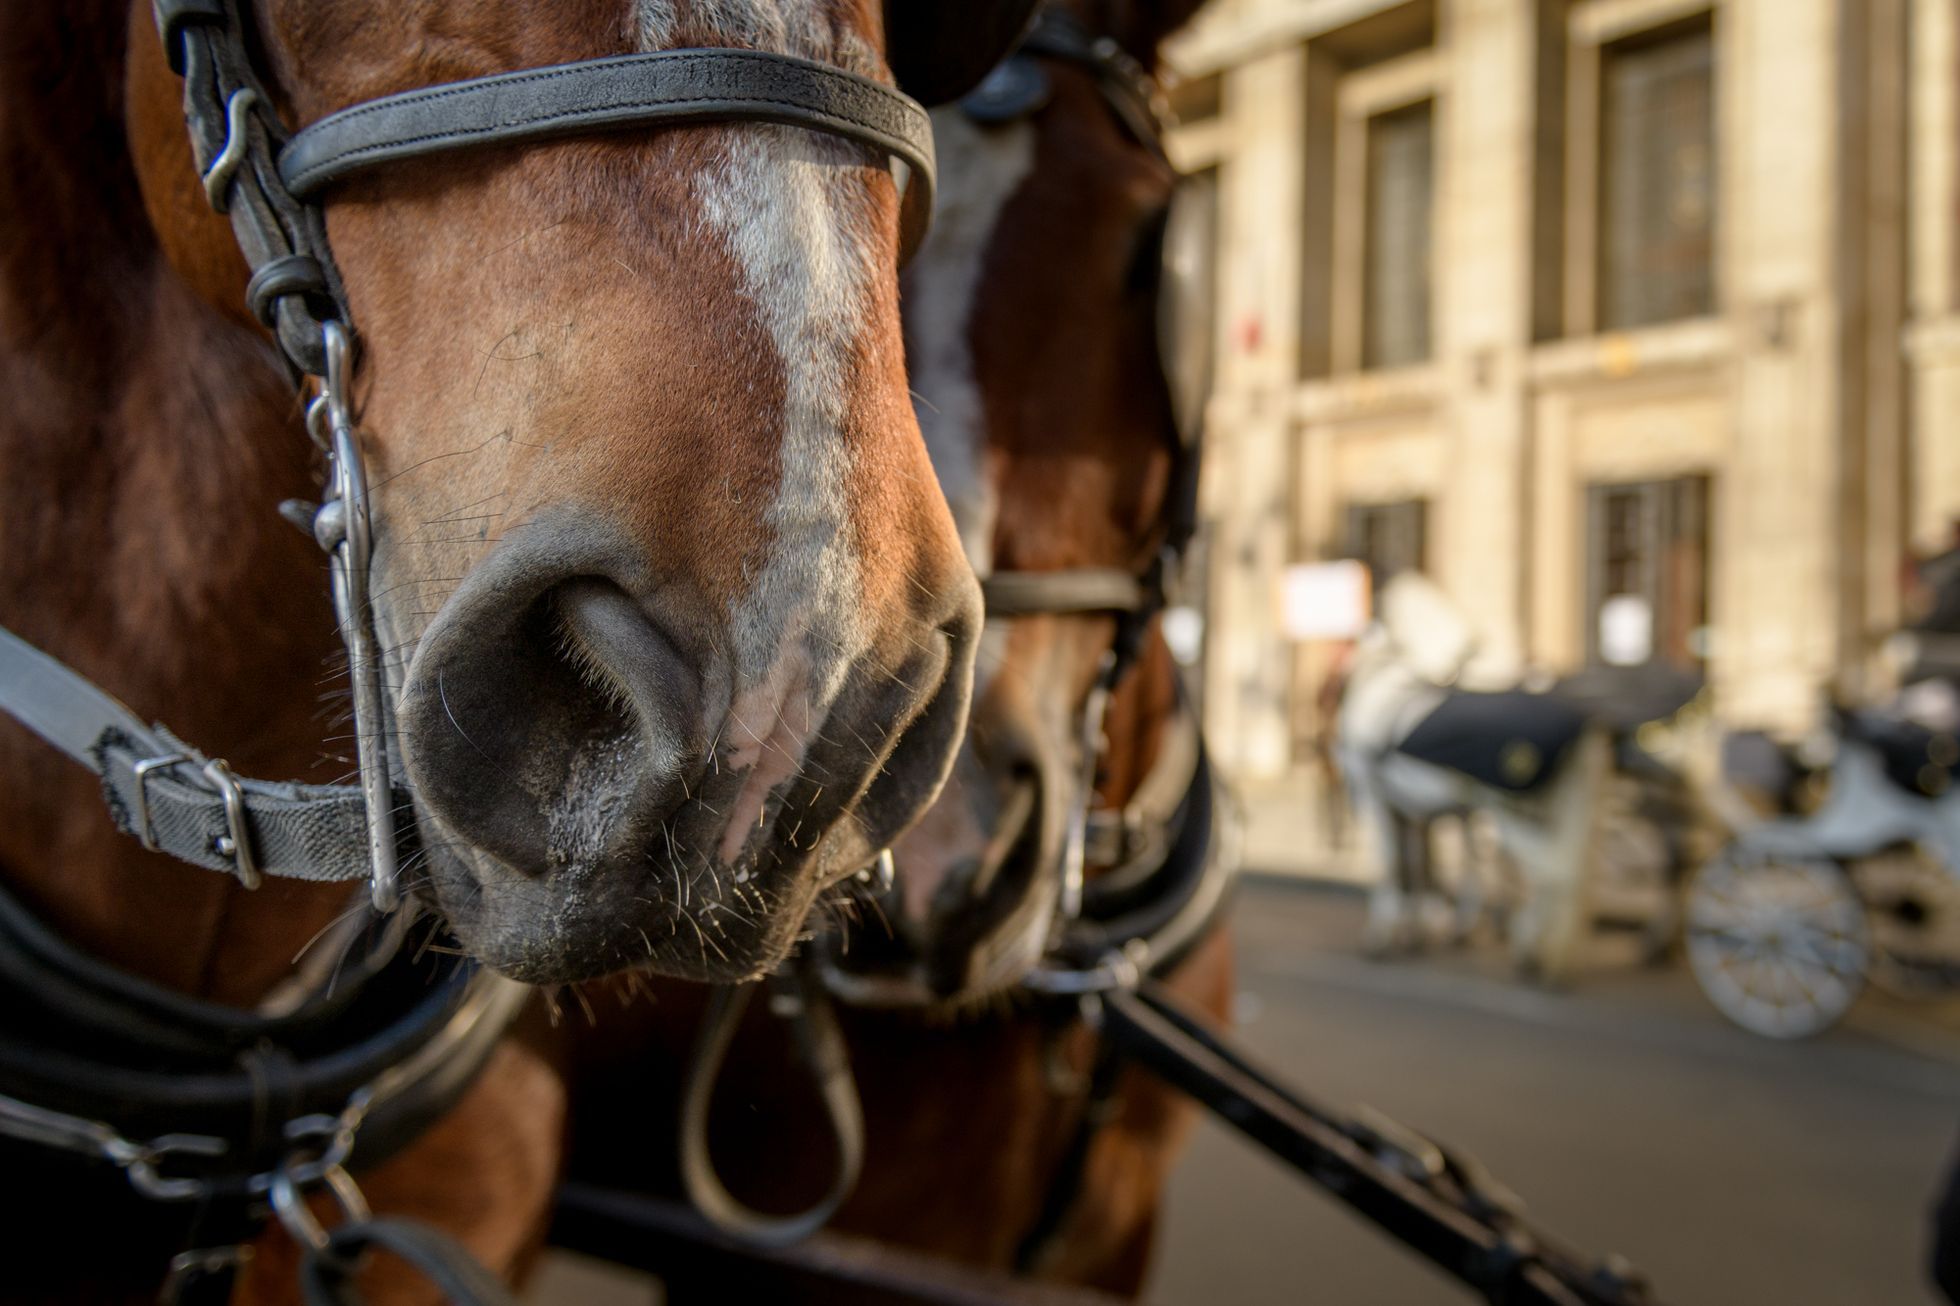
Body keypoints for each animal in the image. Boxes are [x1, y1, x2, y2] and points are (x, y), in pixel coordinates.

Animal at [1340, 568, 1615, 976]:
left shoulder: (1376, 797)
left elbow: (1394, 865)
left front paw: (1383, 935)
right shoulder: (1428, 808)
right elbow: (1431, 865)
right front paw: (1428, 930)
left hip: (1512, 811)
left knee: (1553, 872)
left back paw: (1532, 947)